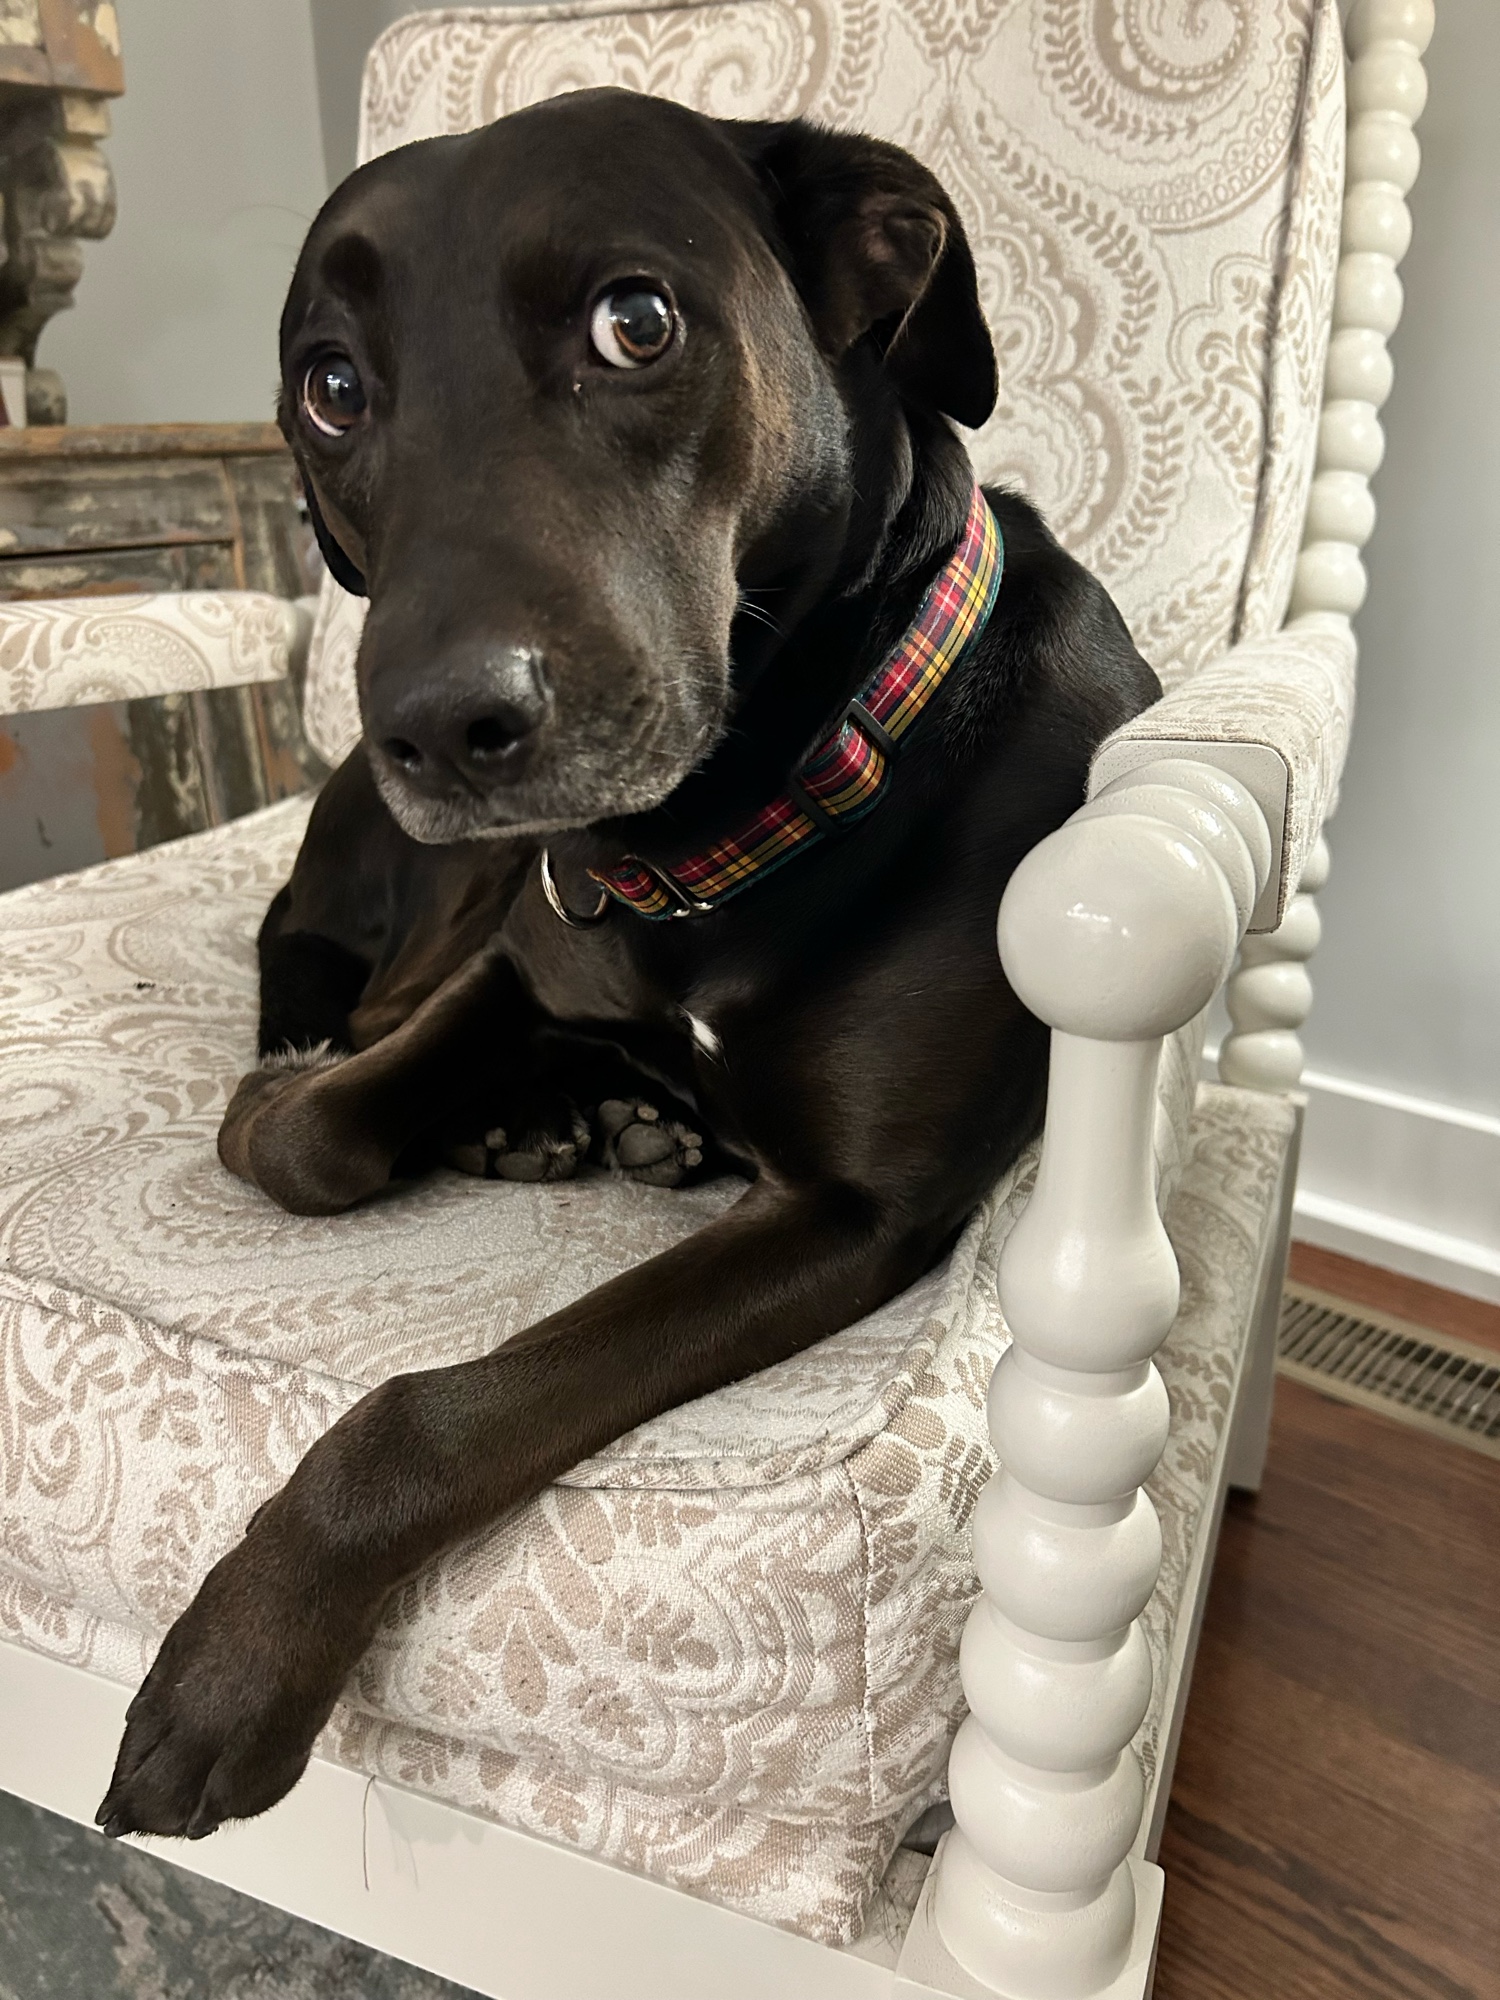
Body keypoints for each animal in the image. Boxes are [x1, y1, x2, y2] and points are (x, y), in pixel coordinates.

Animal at [97, 87, 1158, 1842]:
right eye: (332, 387)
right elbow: (318, 1136)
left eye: (636, 322)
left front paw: (240, 1661)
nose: (441, 730)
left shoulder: (851, 1215)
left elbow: (438, 1406)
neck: (736, 825)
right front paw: (318, 1107)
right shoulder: (524, 959)